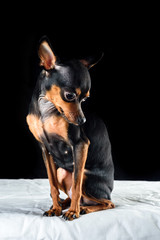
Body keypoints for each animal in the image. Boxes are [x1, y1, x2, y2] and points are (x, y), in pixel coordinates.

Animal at [26, 36, 114, 220]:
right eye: (69, 96)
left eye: (85, 99)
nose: (82, 121)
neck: (46, 108)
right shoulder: (44, 148)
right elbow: (52, 185)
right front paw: (55, 208)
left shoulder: (80, 144)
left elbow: (76, 183)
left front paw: (74, 211)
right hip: (61, 171)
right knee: (72, 194)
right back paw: (63, 204)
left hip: (88, 179)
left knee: (106, 202)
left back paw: (82, 208)